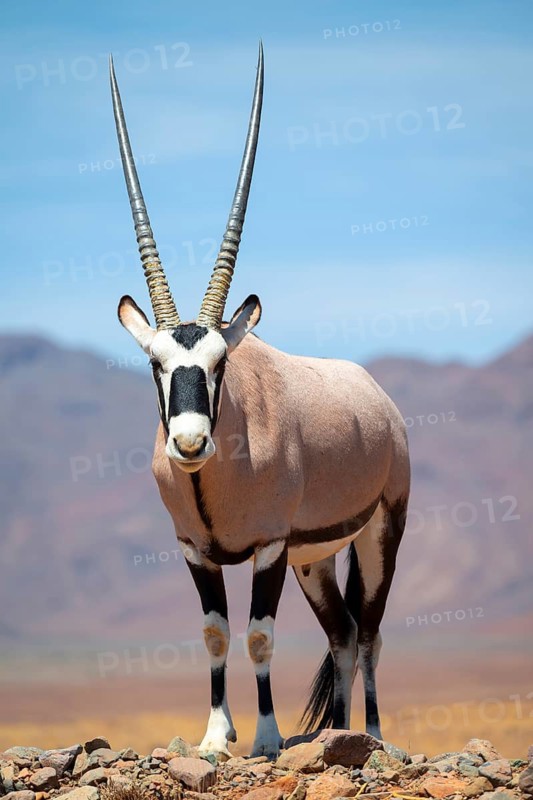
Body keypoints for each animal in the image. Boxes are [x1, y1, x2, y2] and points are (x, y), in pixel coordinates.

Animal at [110, 44, 410, 759]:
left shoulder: (269, 548)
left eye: (221, 363)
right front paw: (217, 738)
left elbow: (258, 636)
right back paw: (333, 732)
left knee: (372, 631)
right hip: (315, 558)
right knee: (343, 632)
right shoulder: (196, 549)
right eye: (156, 364)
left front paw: (267, 738)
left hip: (379, 533)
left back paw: (372, 735)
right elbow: (218, 634)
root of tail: (380, 402)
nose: (191, 443)